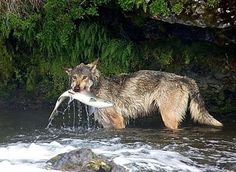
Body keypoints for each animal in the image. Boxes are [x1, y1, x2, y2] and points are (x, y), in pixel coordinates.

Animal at [64, 59, 223, 130]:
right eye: (74, 78)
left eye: (85, 77)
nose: (76, 88)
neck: (98, 88)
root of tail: (183, 78)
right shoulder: (107, 124)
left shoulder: (119, 121)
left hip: (168, 118)